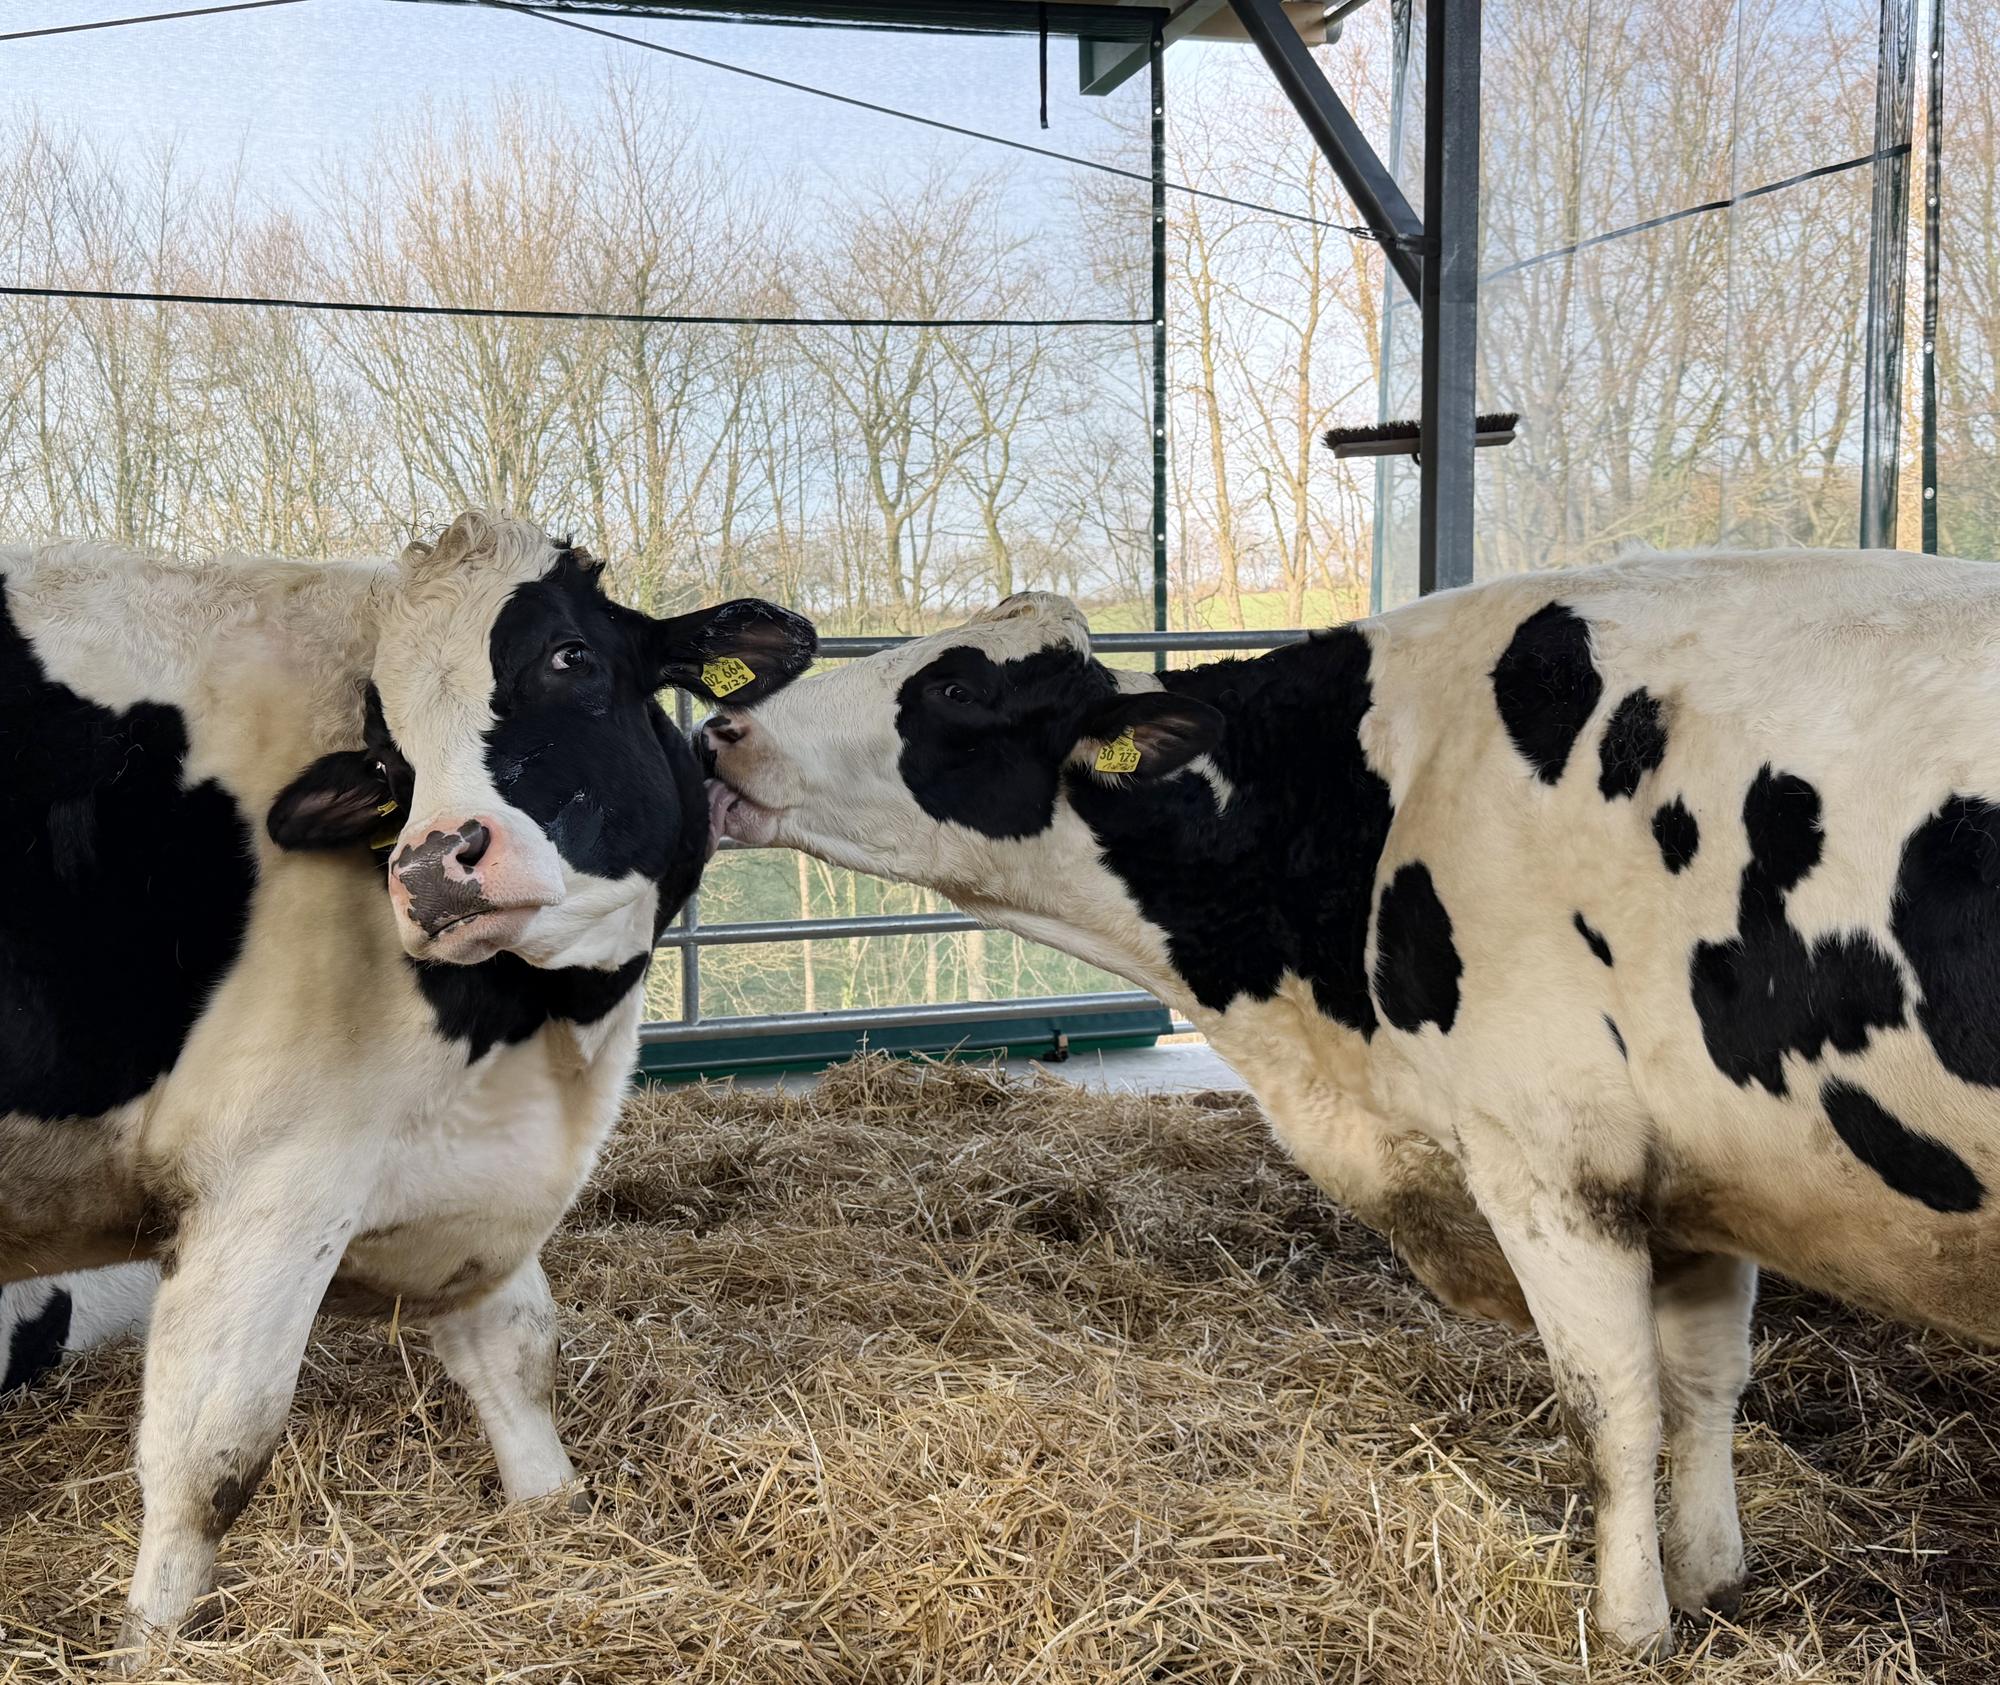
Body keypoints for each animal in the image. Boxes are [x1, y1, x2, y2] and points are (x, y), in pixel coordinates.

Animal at [1, 509, 813, 1668]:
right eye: (389, 741)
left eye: (570, 657)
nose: (431, 867)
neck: (537, 1034)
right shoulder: (265, 1180)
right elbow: (209, 1457)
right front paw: (152, 1648)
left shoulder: (465, 1185)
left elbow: (516, 1355)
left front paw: (557, 1521)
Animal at [701, 550, 2000, 1656]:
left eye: (956, 685)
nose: (724, 728)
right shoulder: (1687, 1179)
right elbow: (1700, 1384)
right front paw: (1708, 1574)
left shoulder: (1547, 1156)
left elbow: (1613, 1406)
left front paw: (1629, 1625)